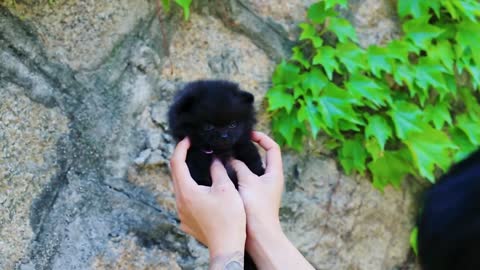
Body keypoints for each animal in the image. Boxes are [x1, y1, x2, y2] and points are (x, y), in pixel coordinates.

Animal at [168, 79, 266, 268]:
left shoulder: (243, 146)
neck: (220, 152)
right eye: (208, 126)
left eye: (233, 124)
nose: (224, 136)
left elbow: (251, 155)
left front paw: (259, 171)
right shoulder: (195, 158)